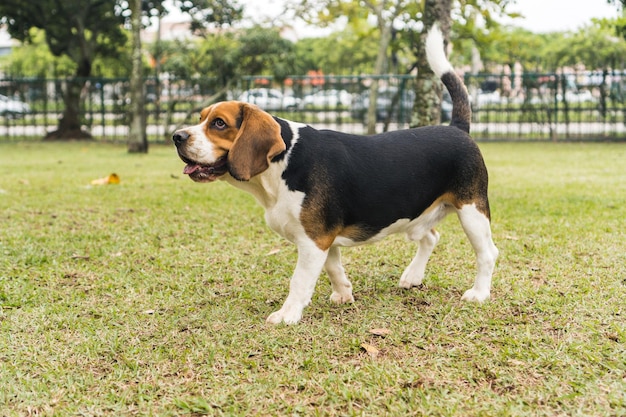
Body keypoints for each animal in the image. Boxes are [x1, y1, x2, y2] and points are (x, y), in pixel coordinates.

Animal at [171, 26, 498, 324]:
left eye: (219, 124)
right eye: (201, 119)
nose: (176, 136)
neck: (281, 164)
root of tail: (456, 127)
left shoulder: (313, 241)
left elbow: (299, 281)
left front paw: (287, 315)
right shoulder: (321, 239)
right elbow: (332, 267)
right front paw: (344, 293)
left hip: (472, 211)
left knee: (487, 253)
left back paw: (479, 293)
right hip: (419, 216)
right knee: (430, 236)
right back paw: (412, 276)